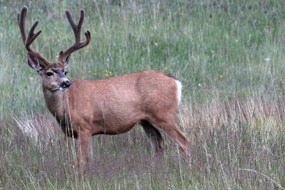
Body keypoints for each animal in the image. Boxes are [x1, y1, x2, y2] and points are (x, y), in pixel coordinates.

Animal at [16, 6, 187, 171]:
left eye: (65, 71)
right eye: (49, 73)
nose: (66, 83)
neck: (66, 106)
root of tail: (176, 82)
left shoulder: (84, 125)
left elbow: (81, 161)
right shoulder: (88, 131)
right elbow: (89, 160)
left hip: (163, 113)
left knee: (183, 140)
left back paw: (186, 168)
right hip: (146, 120)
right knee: (159, 143)